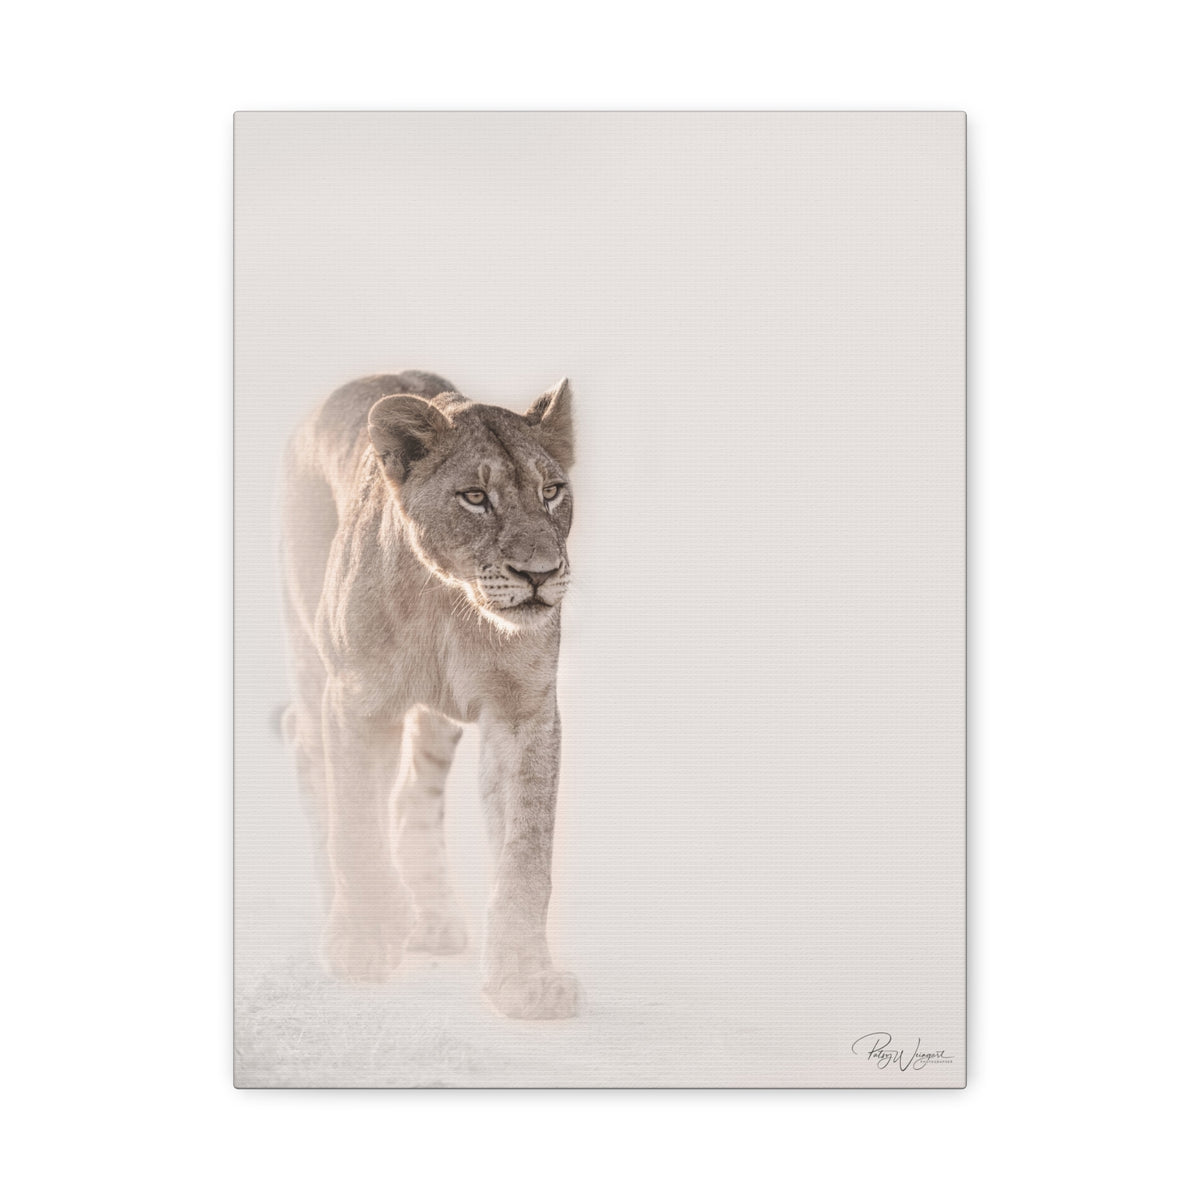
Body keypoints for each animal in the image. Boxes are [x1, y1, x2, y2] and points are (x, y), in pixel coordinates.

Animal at [281, 370, 580, 1019]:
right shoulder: (355, 701)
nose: (541, 574)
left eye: (551, 491)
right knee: (314, 765)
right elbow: (354, 823)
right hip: (311, 659)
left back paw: (433, 916)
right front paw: (362, 941)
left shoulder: (523, 710)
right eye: (475, 497)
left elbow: (526, 854)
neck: (449, 602)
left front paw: (525, 978)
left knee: (410, 801)